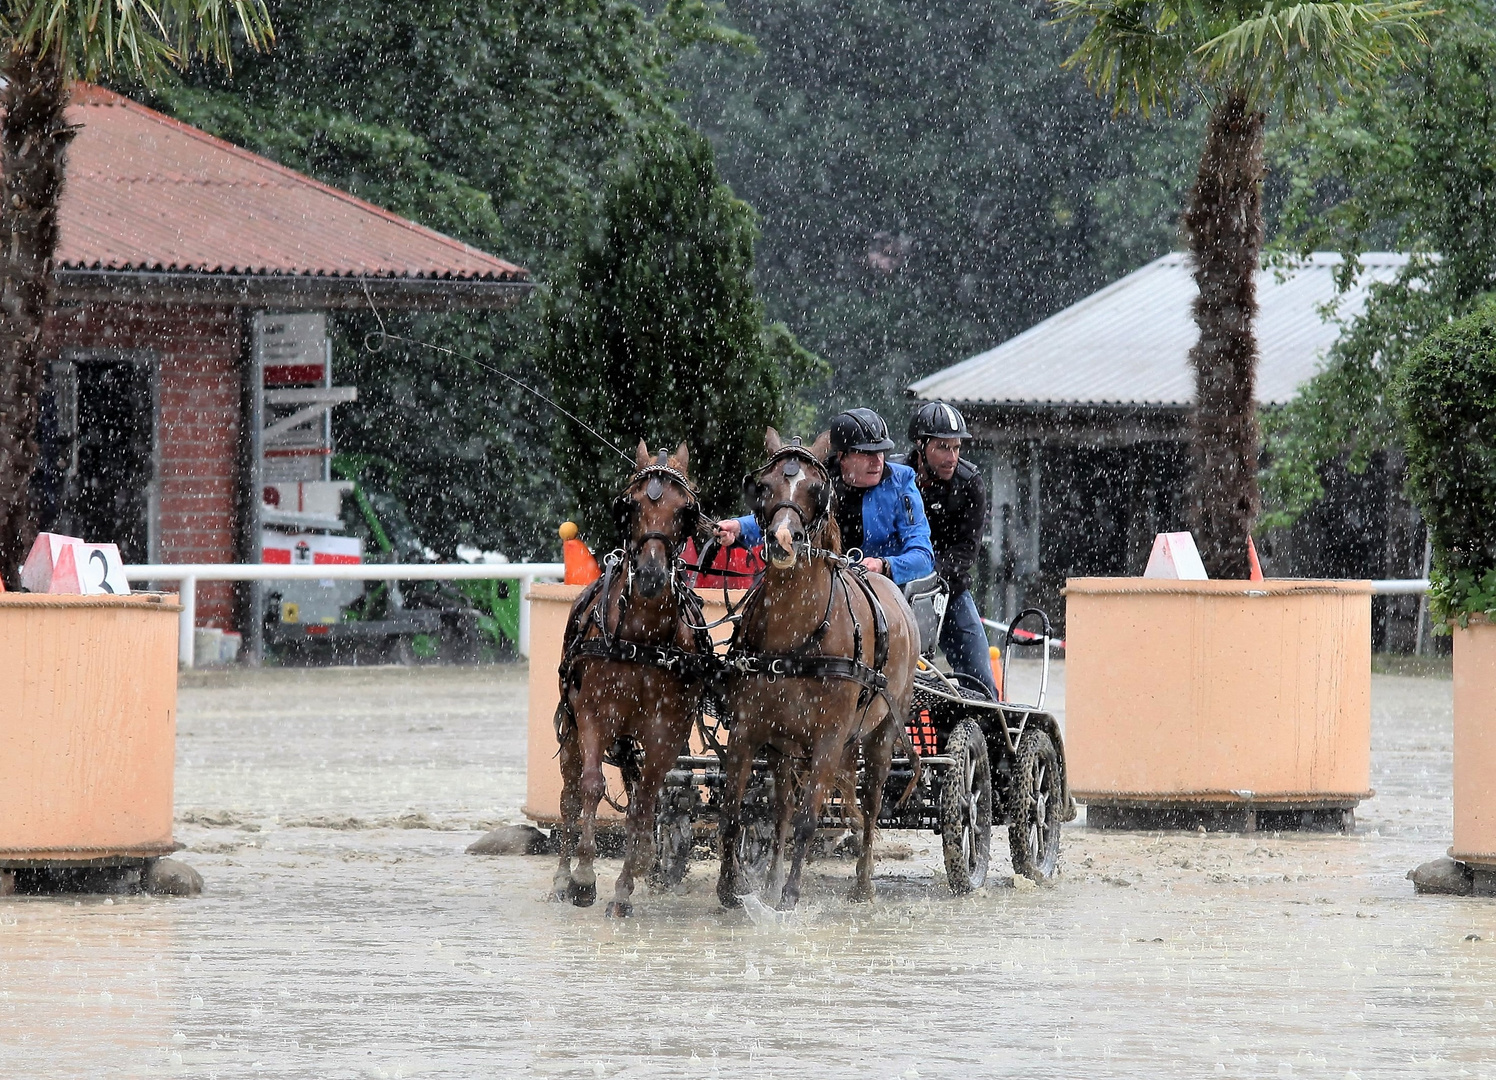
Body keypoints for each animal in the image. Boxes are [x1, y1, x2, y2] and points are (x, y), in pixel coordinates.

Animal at [553, 442, 709, 915]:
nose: (653, 576)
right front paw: (584, 877)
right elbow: (590, 787)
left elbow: (644, 806)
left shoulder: (665, 731)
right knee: (569, 794)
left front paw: (624, 889)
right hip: (571, 728)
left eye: (686, 511)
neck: (642, 637)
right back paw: (561, 877)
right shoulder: (592, 714)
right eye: (630, 505)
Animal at [715, 424, 915, 903]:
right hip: (787, 747)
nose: (783, 541)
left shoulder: (828, 739)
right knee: (784, 808)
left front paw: (789, 896)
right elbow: (735, 812)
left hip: (881, 733)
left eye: (815, 489)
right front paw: (730, 889)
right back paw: (770, 880)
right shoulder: (748, 732)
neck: (793, 634)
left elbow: (809, 819)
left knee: (872, 802)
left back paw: (862, 883)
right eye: (763, 487)